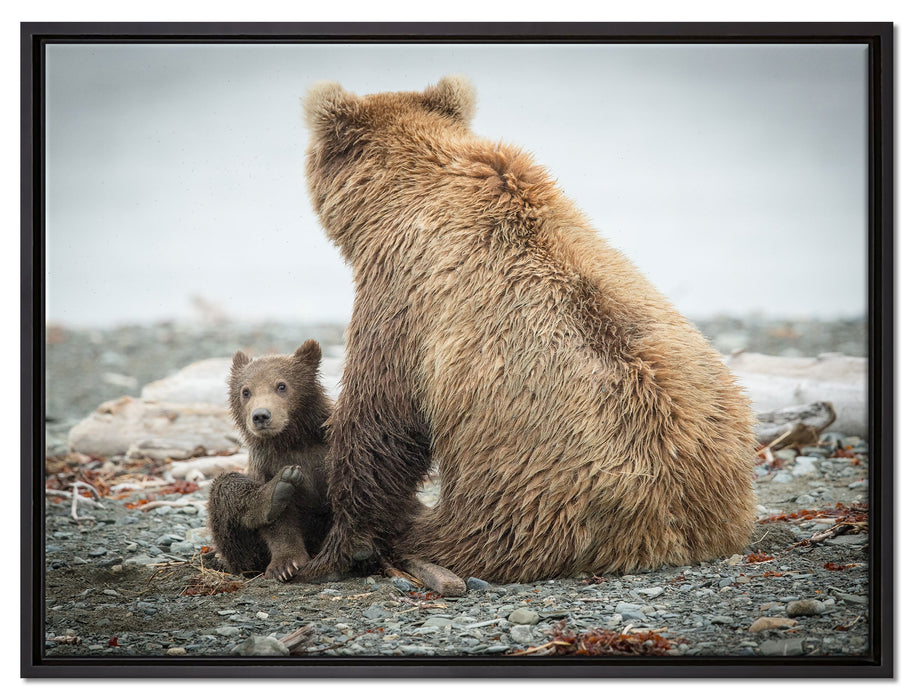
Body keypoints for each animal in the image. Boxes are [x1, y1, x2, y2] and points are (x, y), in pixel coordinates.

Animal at [207, 340, 333, 581]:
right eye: (246, 391)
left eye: (281, 386)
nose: (261, 415)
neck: (292, 440)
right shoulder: (267, 465)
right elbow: (279, 525)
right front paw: (285, 565)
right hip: (244, 554)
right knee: (225, 486)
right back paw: (275, 492)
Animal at [294, 76, 758, 584]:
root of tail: (673, 532)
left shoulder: (403, 294)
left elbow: (379, 419)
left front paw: (336, 549)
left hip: (527, 497)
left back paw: (412, 540)